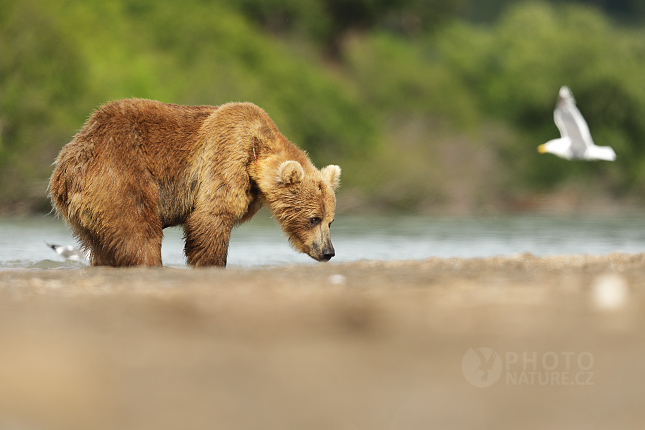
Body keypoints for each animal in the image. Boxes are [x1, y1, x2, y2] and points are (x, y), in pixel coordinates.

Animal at [47, 98, 340, 266]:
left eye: (330, 221)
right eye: (313, 218)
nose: (329, 251)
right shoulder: (224, 155)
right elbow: (211, 218)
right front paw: (210, 263)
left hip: (89, 211)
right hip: (119, 173)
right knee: (139, 233)